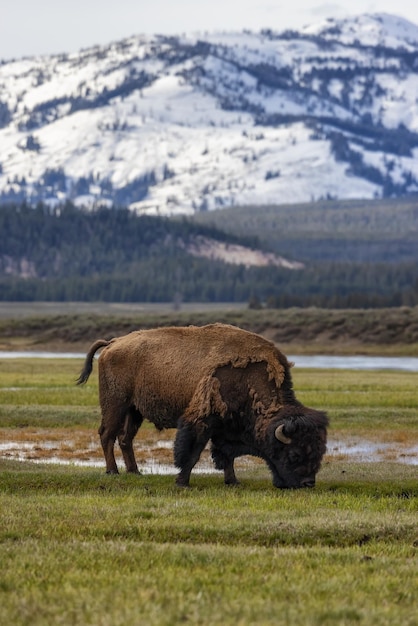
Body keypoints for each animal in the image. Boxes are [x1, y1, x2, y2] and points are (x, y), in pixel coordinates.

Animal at [77, 322, 326, 488]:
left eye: (319, 451)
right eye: (294, 454)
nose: (308, 483)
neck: (249, 378)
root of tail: (113, 343)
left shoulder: (226, 427)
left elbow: (226, 455)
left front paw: (232, 481)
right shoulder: (201, 420)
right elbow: (193, 452)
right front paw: (182, 482)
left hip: (134, 411)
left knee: (125, 438)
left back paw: (135, 472)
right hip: (115, 405)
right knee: (107, 434)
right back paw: (113, 471)